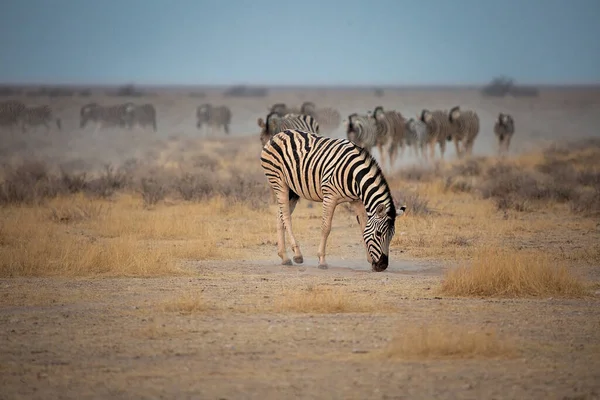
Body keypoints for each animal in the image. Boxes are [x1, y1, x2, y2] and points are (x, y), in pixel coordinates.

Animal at [258, 128, 406, 272]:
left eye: (392, 235)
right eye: (379, 234)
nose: (382, 266)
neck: (354, 176)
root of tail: (278, 134)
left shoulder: (356, 200)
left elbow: (363, 227)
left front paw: (370, 260)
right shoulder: (330, 196)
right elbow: (326, 227)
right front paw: (322, 261)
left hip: (292, 190)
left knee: (280, 217)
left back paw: (284, 257)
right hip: (279, 182)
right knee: (287, 217)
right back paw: (297, 255)